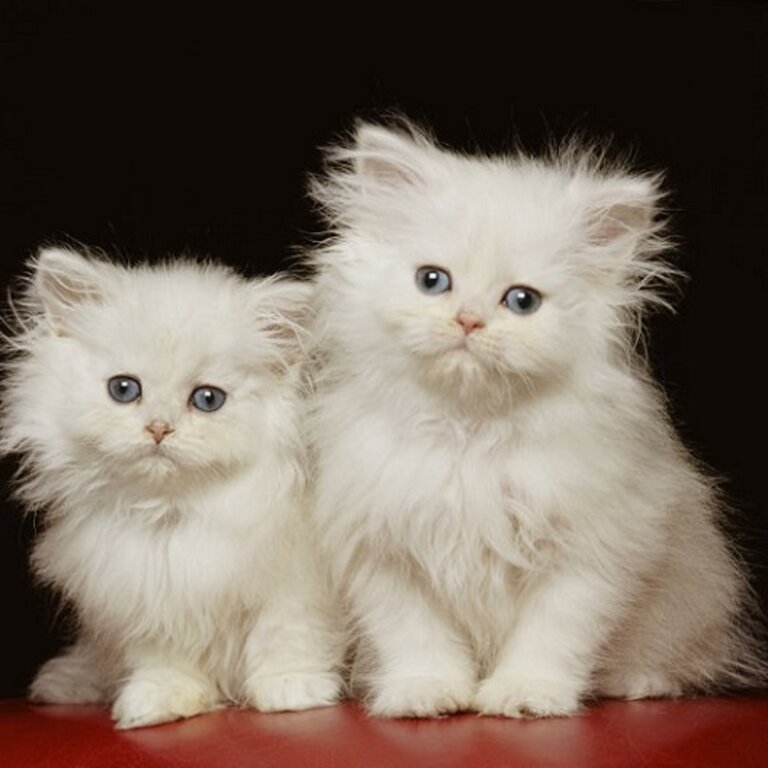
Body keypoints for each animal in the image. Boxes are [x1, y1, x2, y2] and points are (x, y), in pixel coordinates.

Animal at [0, 249, 342, 728]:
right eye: (124, 389)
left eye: (208, 399)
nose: (159, 428)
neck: (169, 512)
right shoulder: (146, 597)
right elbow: (165, 658)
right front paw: (161, 701)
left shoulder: (295, 585)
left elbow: (285, 635)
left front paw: (293, 689)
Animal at [308, 121, 768, 720]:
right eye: (432, 281)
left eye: (522, 301)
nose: (469, 321)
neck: (469, 432)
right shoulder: (383, 553)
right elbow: (416, 637)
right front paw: (425, 693)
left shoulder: (589, 552)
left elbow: (551, 635)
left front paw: (525, 696)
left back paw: (639, 682)